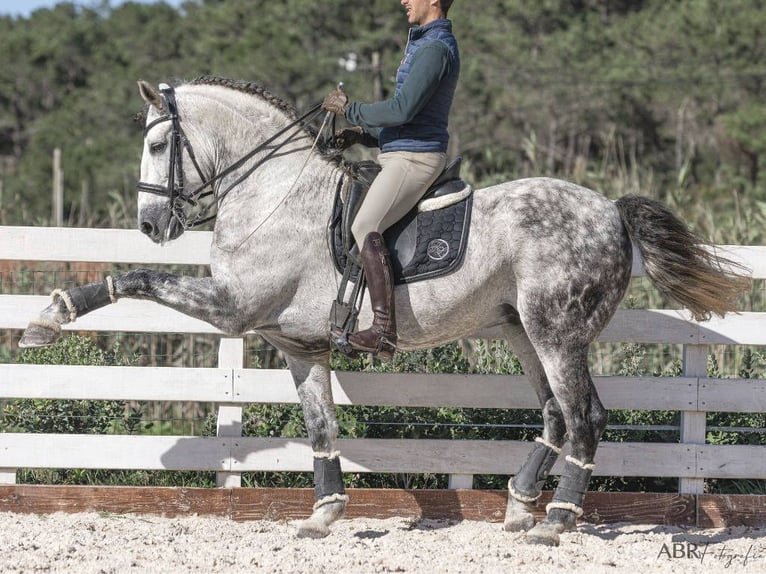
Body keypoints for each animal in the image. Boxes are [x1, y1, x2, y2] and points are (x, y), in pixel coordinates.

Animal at [21, 77, 752, 548]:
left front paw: (48, 317)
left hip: (556, 330)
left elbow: (136, 277)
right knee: (552, 413)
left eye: (154, 145)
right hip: (522, 331)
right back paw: (519, 507)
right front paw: (324, 514)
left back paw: (557, 520)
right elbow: (320, 426)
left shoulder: (233, 309)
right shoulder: (297, 346)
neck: (271, 193)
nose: (151, 225)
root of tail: (609, 212)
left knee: (585, 416)